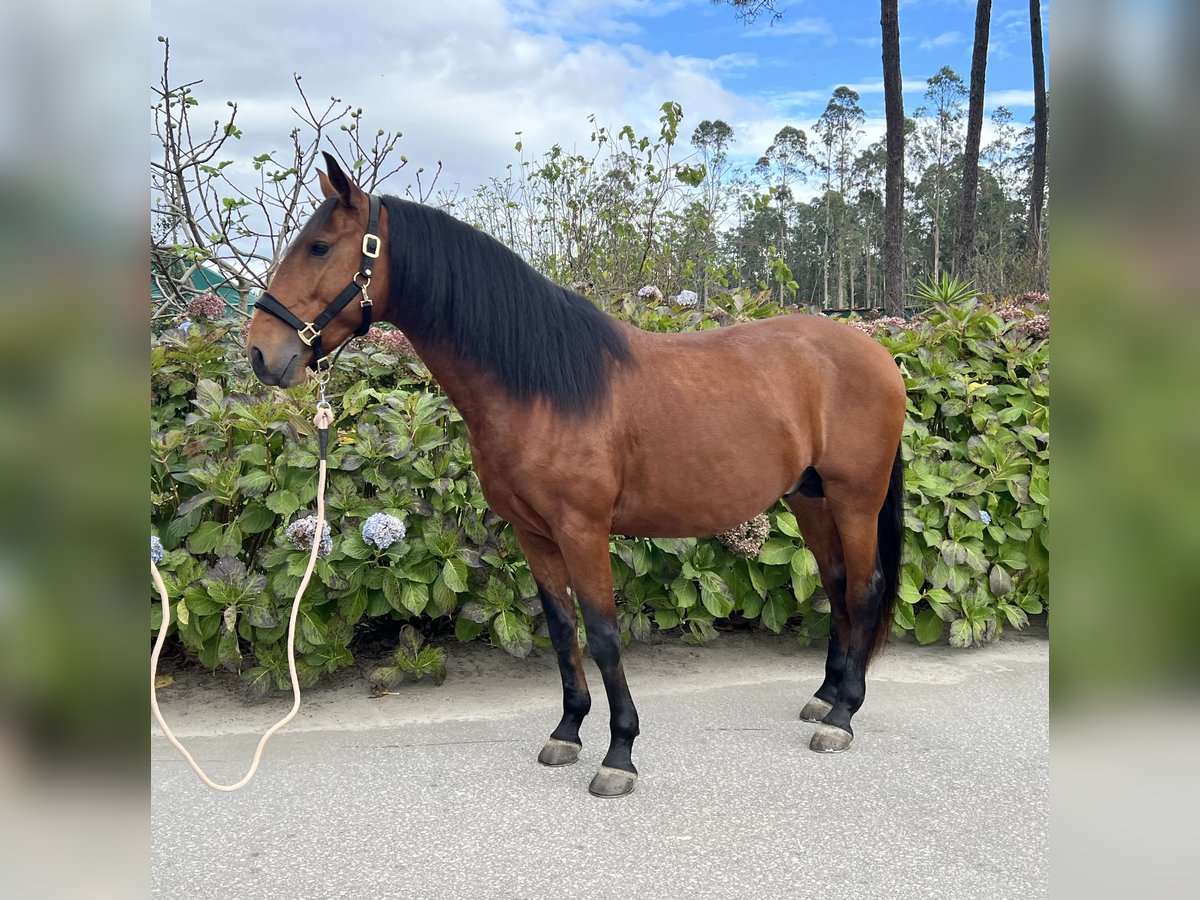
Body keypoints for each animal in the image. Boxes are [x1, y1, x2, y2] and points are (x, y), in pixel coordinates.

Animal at [248, 153, 902, 796]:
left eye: (319, 247)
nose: (260, 352)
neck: (542, 386)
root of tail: (874, 351)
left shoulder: (582, 529)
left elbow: (604, 633)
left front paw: (620, 754)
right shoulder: (533, 533)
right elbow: (564, 630)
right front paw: (567, 731)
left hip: (854, 498)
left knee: (863, 588)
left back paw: (843, 716)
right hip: (810, 499)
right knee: (836, 584)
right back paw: (824, 698)